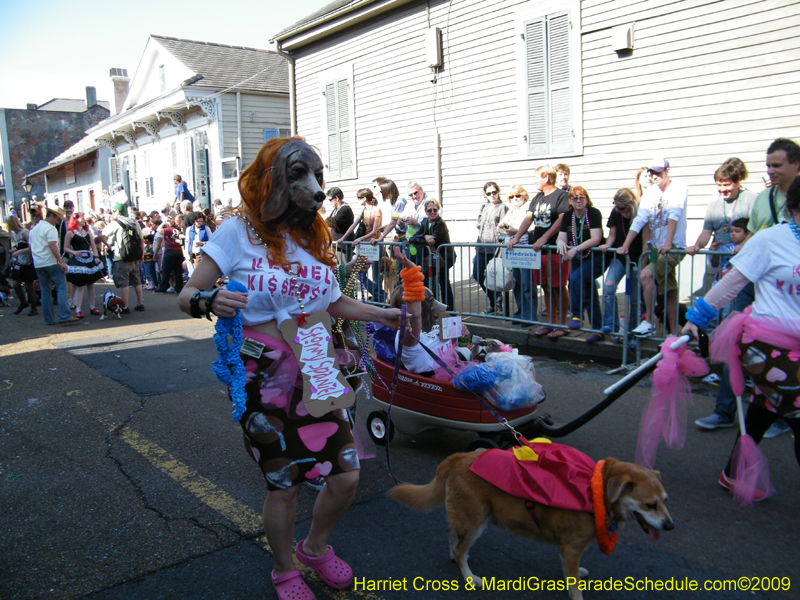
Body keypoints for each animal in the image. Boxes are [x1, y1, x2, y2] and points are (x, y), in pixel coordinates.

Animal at [390, 450, 672, 600]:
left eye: (665, 501)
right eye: (651, 504)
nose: (670, 526)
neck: (596, 491)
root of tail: (458, 458)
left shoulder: (567, 549)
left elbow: (570, 573)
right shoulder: (571, 548)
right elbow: (574, 586)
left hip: (468, 516)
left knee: (452, 533)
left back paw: (455, 555)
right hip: (476, 520)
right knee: (461, 547)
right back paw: (469, 576)